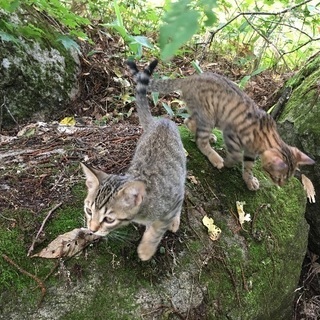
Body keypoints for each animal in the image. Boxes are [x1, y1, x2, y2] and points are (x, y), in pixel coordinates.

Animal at [80, 59, 186, 260]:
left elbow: (157, 228)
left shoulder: (172, 199)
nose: (92, 229)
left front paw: (146, 249)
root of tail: (160, 120)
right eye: (89, 211)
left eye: (109, 219)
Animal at [146, 63, 316, 191]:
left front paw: (249, 180)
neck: (265, 137)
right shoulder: (231, 134)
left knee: (189, 121)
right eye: (279, 177)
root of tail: (190, 78)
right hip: (209, 116)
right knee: (200, 140)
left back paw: (210, 137)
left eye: (286, 179)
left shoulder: (250, 153)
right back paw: (215, 157)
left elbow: (248, 166)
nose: (280, 185)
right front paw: (228, 163)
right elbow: (236, 156)